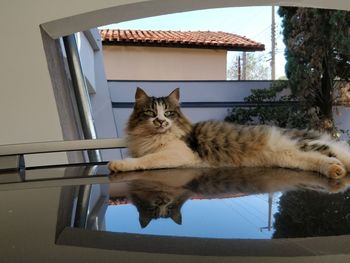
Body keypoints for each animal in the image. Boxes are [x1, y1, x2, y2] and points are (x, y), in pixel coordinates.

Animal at [108, 88, 350, 179]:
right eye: (151, 112)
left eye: (168, 113)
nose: (160, 121)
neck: (153, 136)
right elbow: (141, 156)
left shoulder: (179, 154)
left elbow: (146, 160)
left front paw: (118, 164)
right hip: (296, 158)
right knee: (326, 161)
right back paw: (335, 170)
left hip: (305, 145)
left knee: (340, 154)